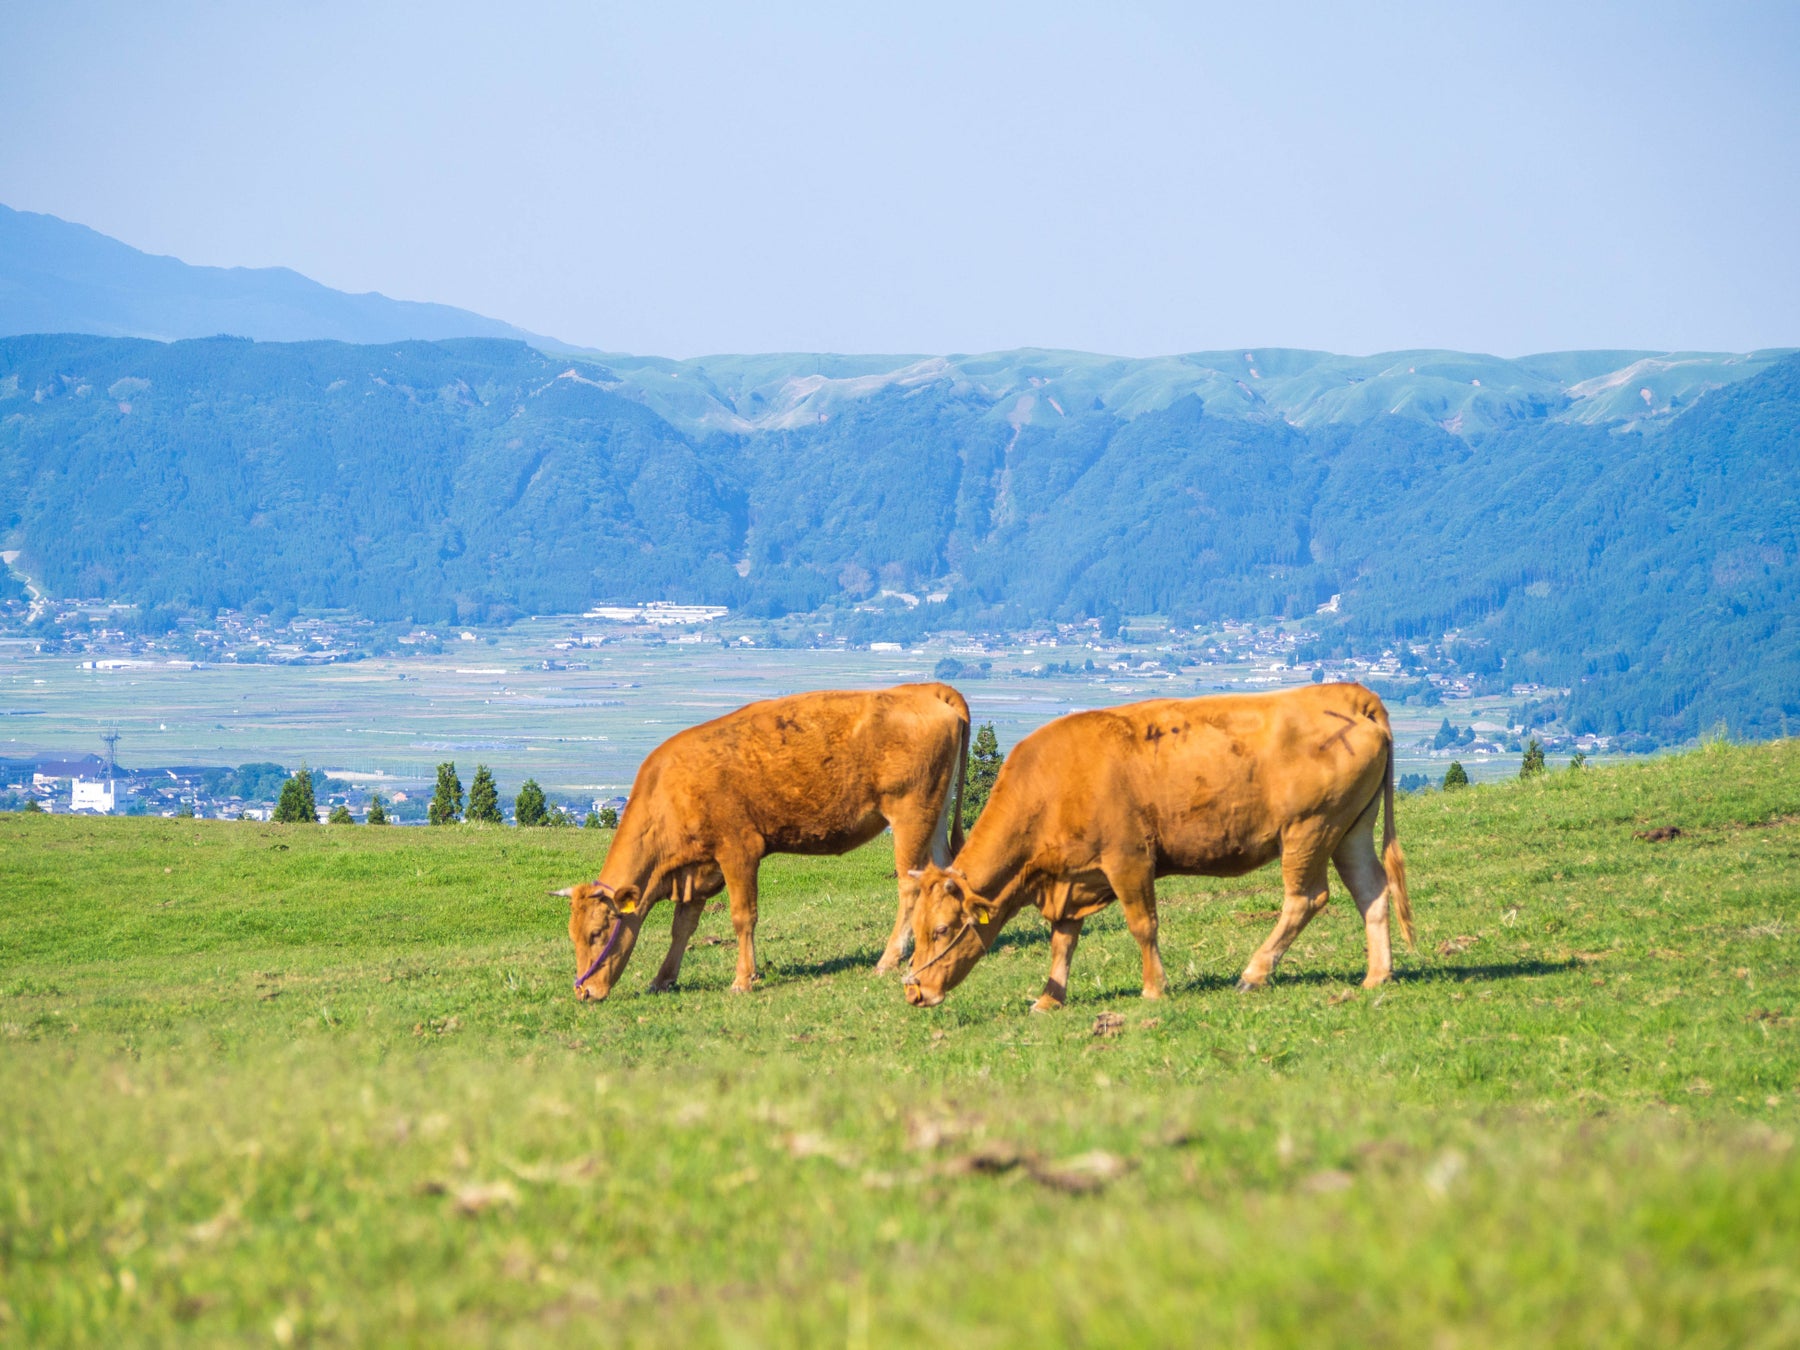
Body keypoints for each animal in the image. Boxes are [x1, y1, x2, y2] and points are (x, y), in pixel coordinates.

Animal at [561, 680, 972, 1000]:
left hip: (910, 813)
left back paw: (887, 960)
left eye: (597, 933)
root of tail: (924, 689)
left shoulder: (738, 850)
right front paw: (662, 979)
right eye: (573, 936)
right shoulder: (695, 869)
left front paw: (744, 979)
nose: (584, 991)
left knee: (909, 885)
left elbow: (743, 916)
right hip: (934, 815)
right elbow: (682, 926)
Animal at [907, 687, 1411, 1015]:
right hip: (1350, 828)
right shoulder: (1070, 877)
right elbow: (1062, 941)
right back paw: (1376, 975)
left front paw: (1153, 989)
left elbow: (1142, 925)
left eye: (941, 929)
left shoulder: (1128, 858)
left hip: (1309, 830)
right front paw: (1049, 999)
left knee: (1306, 898)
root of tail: (1350, 694)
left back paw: (1254, 973)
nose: (914, 991)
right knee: (1371, 889)